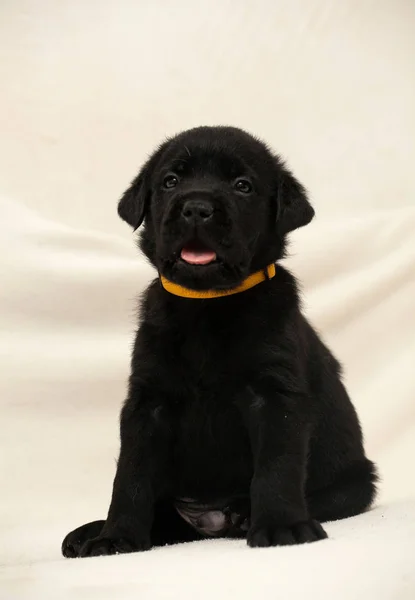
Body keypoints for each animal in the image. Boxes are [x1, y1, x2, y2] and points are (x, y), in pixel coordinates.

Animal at [61, 126, 376, 556]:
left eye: (242, 186)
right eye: (170, 181)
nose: (196, 208)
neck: (207, 307)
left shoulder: (275, 396)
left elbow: (277, 466)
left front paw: (281, 525)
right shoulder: (147, 401)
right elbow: (130, 476)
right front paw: (116, 536)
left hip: (355, 484)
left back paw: (246, 514)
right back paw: (89, 532)